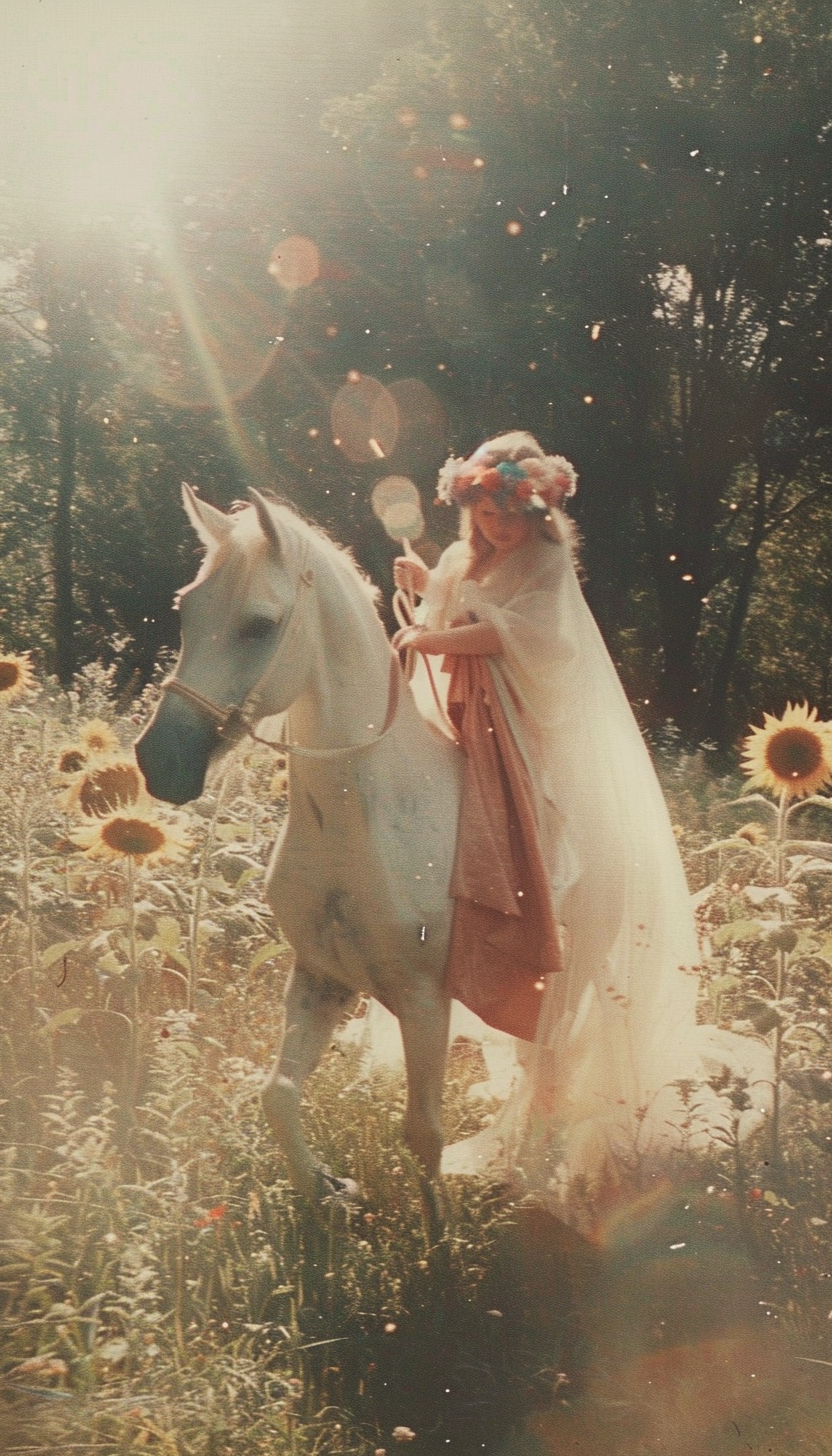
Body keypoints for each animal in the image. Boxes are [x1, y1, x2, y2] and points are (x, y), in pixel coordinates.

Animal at [139, 486, 472, 1217]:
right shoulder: (322, 976)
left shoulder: (424, 999)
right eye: (185, 610)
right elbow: (278, 1095)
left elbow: (424, 1132)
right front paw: (327, 1191)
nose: (158, 761)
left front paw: (437, 1239)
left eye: (260, 625)